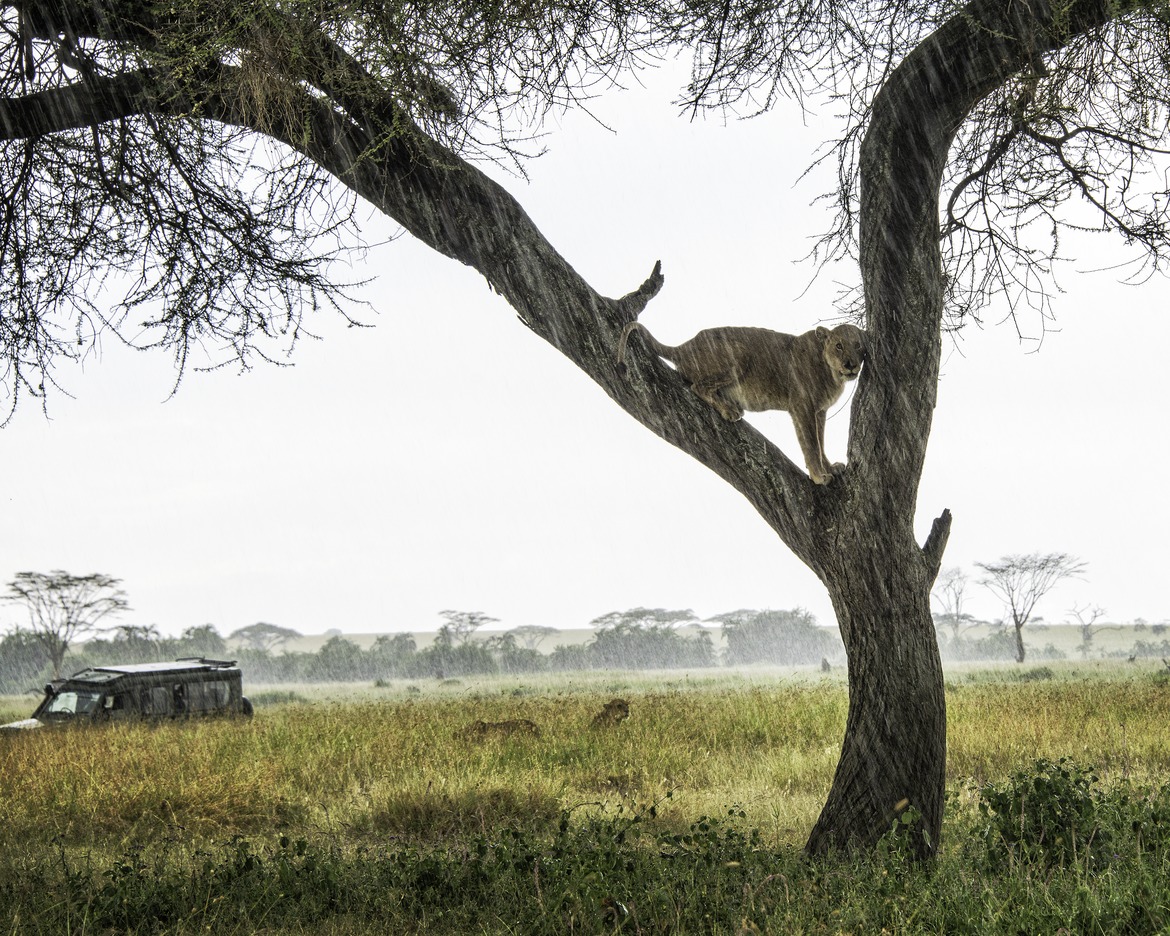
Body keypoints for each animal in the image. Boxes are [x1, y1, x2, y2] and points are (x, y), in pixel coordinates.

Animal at [617, 320, 867, 485]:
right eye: (839, 345)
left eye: (857, 345)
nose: (850, 364)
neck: (832, 374)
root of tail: (684, 347)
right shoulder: (802, 406)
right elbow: (811, 444)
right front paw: (819, 476)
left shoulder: (819, 411)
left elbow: (820, 441)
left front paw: (830, 468)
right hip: (738, 355)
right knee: (698, 386)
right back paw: (729, 410)